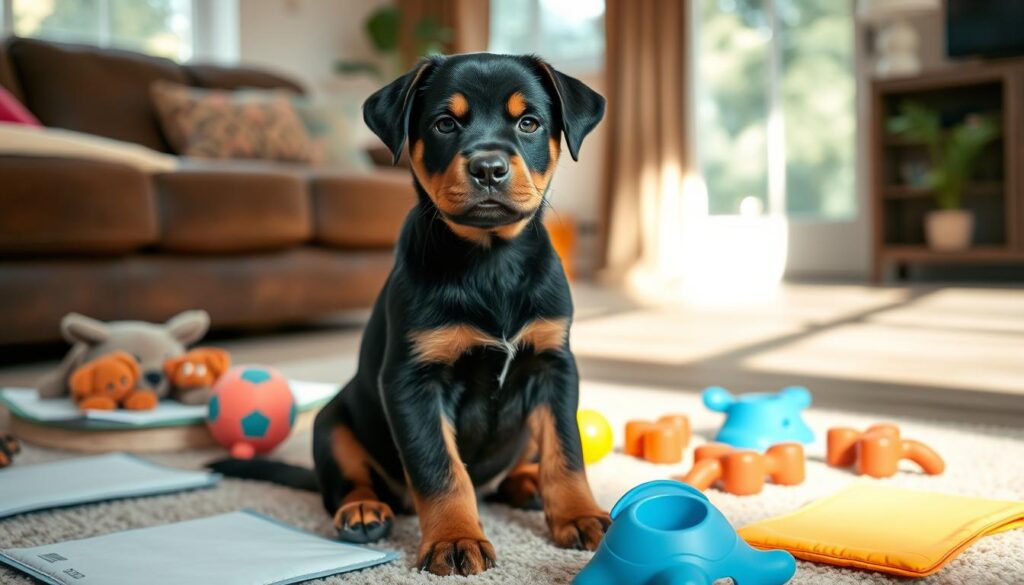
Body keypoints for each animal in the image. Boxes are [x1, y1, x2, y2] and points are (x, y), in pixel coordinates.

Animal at [214, 53, 606, 577]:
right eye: (445, 124)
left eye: (529, 123)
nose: (488, 168)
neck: (490, 262)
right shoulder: (412, 380)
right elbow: (440, 468)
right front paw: (456, 538)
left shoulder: (553, 365)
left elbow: (566, 453)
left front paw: (580, 517)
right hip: (333, 423)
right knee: (348, 483)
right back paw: (363, 511)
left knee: (516, 466)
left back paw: (525, 484)